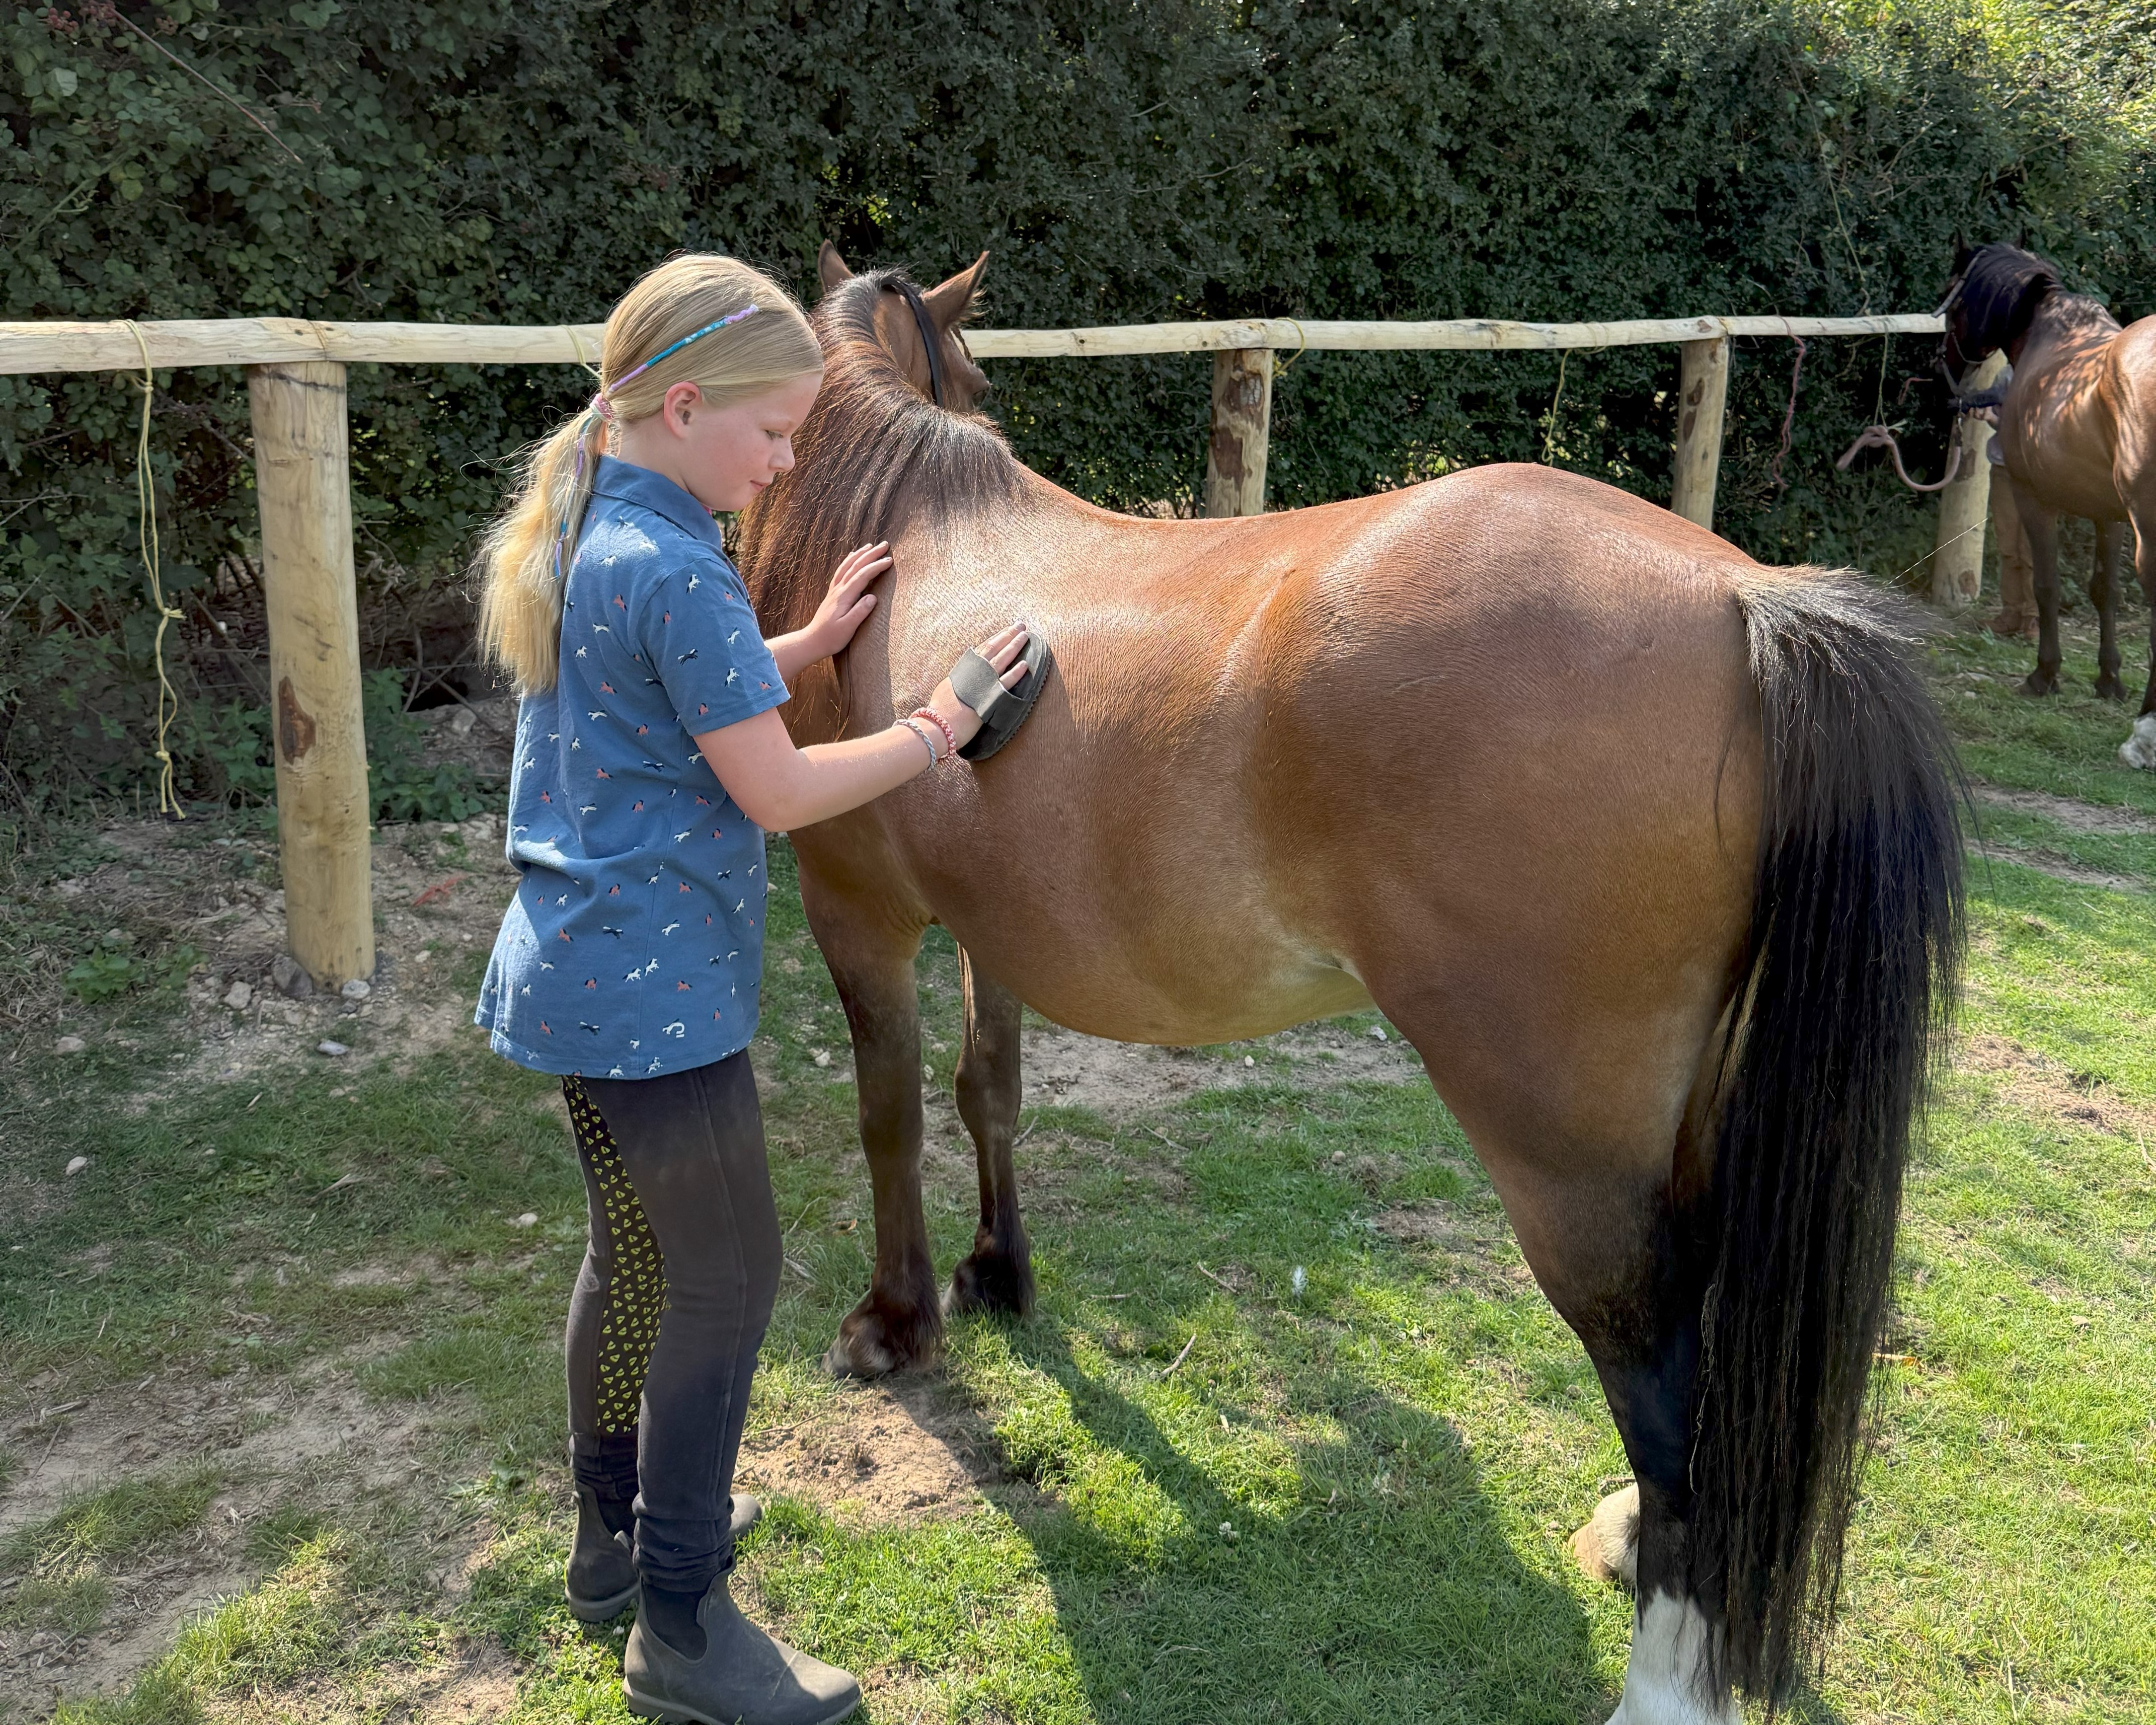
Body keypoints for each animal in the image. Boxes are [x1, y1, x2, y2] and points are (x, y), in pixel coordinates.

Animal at [734, 251, 1964, 1724]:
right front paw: (997, 1272)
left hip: (1569, 1164)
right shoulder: (992, 931)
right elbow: (988, 1091)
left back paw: (1665, 1679)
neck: (906, 535)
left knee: (1660, 1374)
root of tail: (1745, 604)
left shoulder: (858, 910)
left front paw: (897, 1321)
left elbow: (888, 1116)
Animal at [1938, 242, 2156, 751]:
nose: (1946, 369)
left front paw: (2044, 674)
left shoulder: (2034, 498)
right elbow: (2105, 590)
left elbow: (2047, 585)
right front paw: (2109, 679)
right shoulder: (2108, 513)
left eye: (1953, 307)